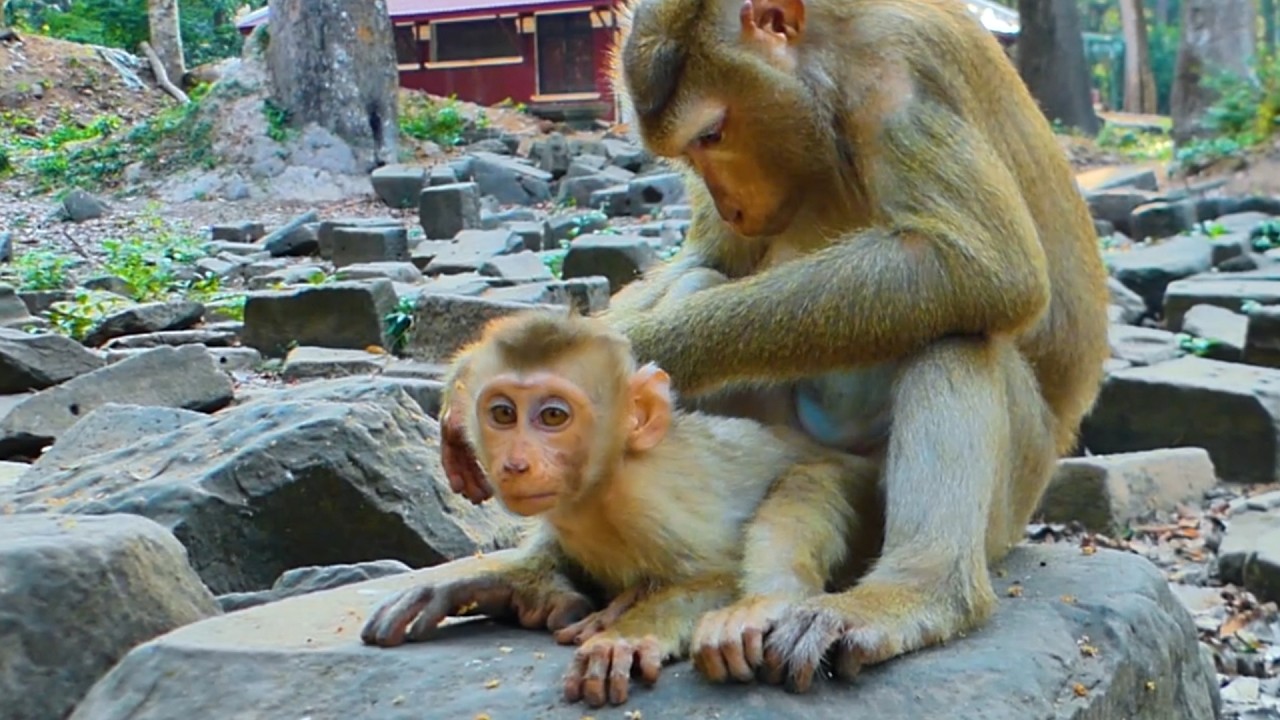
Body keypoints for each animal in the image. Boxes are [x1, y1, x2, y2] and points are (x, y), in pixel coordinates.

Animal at [361, 309, 882, 708]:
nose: (515, 464)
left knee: (809, 480)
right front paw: (493, 586)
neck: (603, 484)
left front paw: (625, 636)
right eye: (503, 413)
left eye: (553, 416)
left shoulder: (649, 505)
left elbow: (717, 575)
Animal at [438, 0, 1111, 695]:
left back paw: (915, 594)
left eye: (712, 135)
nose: (729, 203)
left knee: (959, 333)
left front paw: (632, 349)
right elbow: (712, 259)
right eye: (689, 151)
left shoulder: (897, 86)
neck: (829, 60)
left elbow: (984, 267)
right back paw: (542, 573)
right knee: (710, 284)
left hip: (1007, 500)